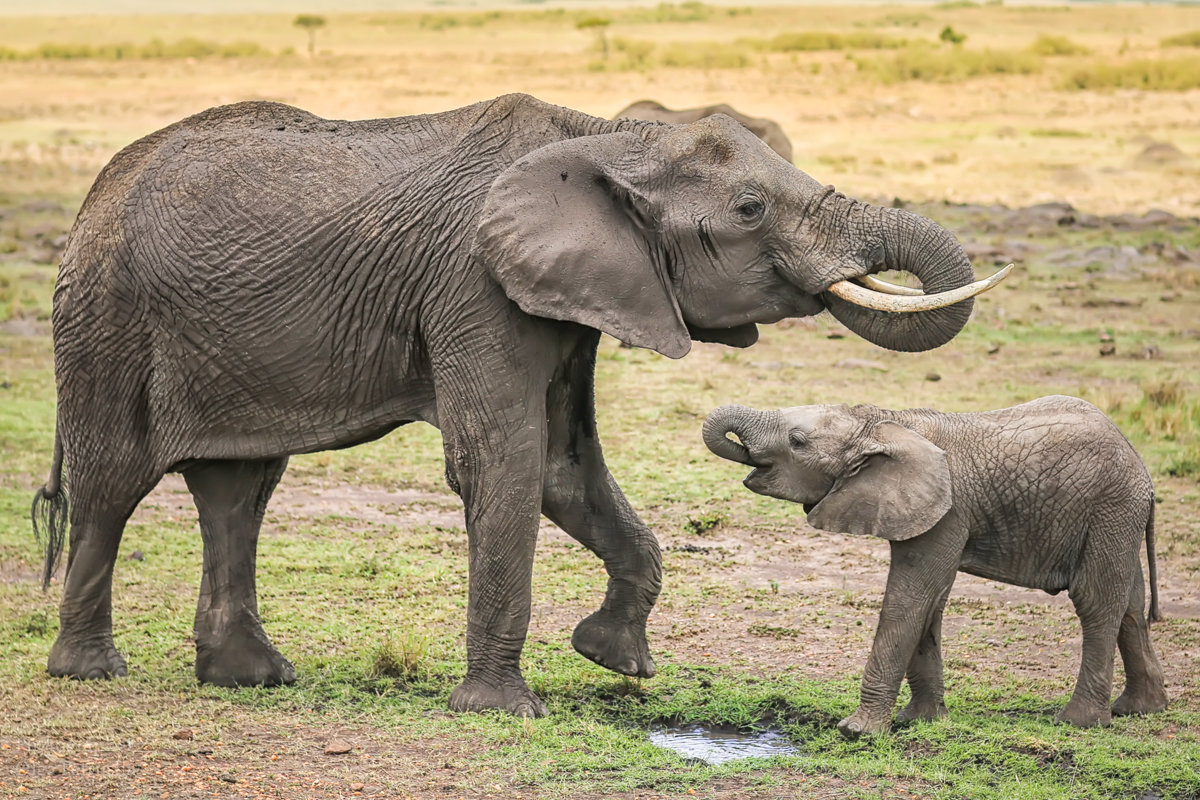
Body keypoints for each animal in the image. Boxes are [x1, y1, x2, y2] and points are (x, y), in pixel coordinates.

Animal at [700, 398, 1161, 743]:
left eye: (797, 441)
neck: (882, 422)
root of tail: (1140, 463)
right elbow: (931, 602)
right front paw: (920, 721)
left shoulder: (949, 511)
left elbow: (911, 597)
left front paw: (857, 731)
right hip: (1118, 515)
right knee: (1131, 605)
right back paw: (1140, 710)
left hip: (1110, 507)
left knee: (1096, 602)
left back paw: (1078, 722)